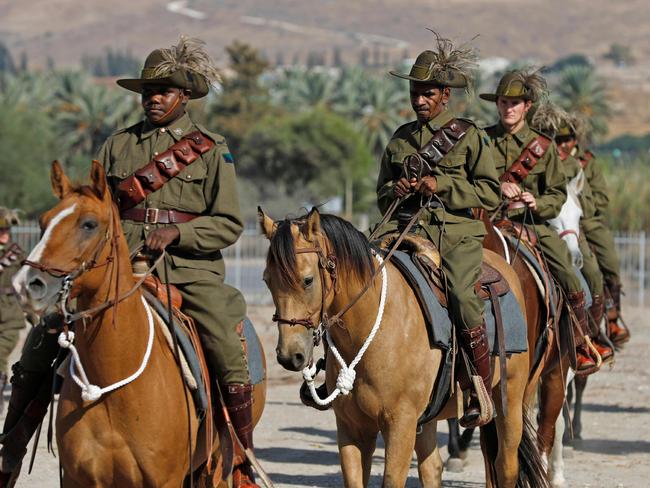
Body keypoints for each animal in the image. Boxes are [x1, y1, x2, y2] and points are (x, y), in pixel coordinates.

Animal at [10, 162, 264, 486]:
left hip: (218, 463)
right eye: (43, 223)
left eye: (88, 224)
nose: (26, 284)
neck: (112, 383)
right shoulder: (78, 478)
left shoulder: (165, 480)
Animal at [258, 208, 548, 488]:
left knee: (505, 466)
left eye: (308, 280)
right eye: (267, 280)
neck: (372, 328)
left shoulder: (400, 425)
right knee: (435, 470)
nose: (289, 356)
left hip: (510, 401)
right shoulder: (352, 428)